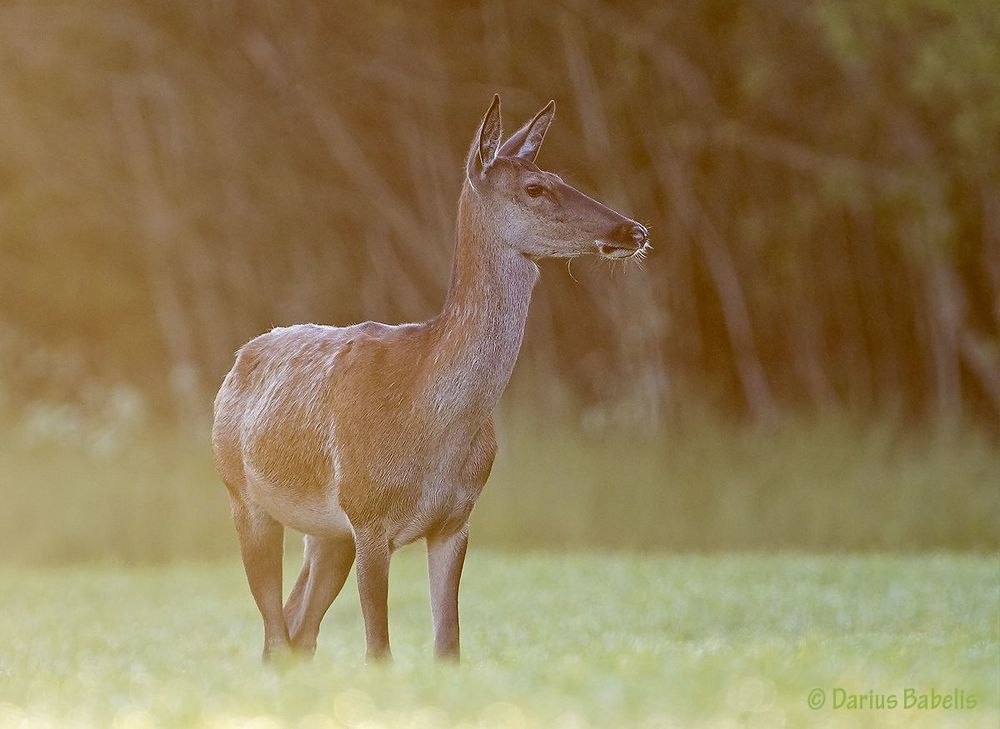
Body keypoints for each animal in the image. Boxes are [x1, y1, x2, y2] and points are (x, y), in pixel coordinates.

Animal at [212, 95, 650, 663]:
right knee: (274, 633)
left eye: (559, 176)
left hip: (326, 533)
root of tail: (236, 362)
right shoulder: (369, 517)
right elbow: (379, 650)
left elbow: (449, 646)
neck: (428, 413)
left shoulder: (455, 520)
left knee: (296, 631)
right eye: (536, 187)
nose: (633, 231)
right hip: (244, 496)